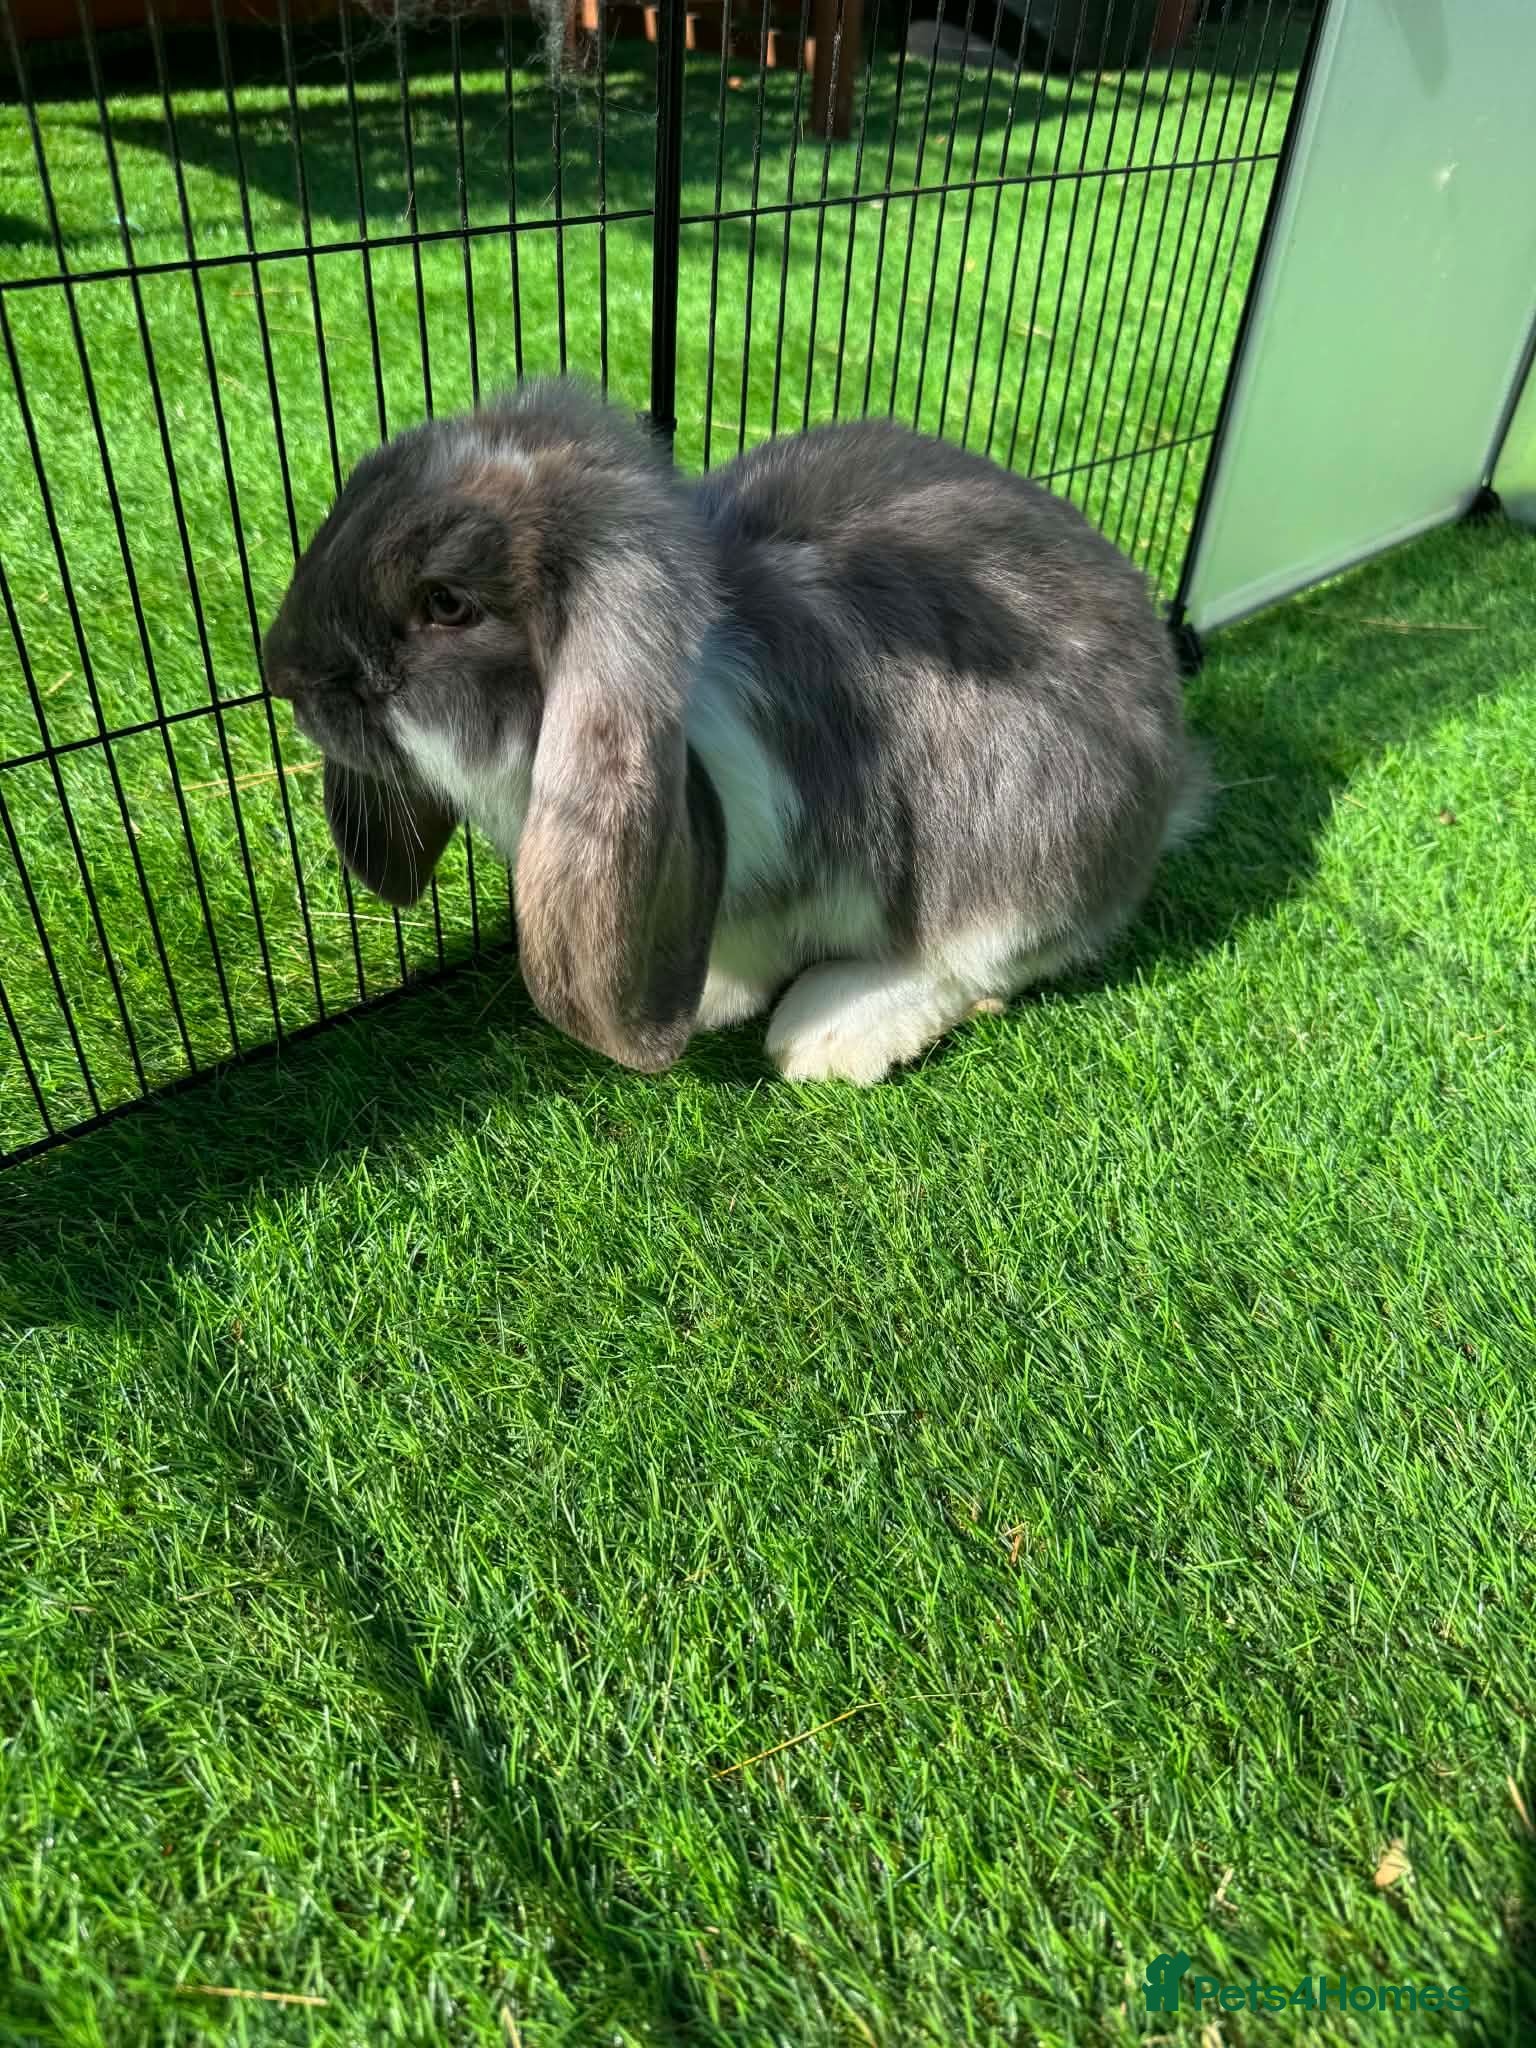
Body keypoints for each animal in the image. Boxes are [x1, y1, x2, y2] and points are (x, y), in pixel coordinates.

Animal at [263, 378, 1207, 1085]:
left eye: (447, 604)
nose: (283, 673)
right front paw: (711, 994)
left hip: (1031, 842)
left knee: (981, 958)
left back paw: (828, 1035)